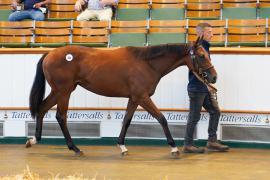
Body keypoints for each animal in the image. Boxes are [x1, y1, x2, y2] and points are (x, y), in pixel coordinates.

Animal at [25, 37, 217, 157]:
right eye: (201, 55)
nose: (214, 77)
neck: (147, 63)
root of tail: (50, 54)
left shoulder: (134, 98)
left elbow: (127, 120)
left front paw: (122, 146)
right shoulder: (143, 97)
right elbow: (161, 118)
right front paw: (174, 148)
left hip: (60, 91)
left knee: (42, 108)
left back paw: (34, 140)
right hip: (64, 91)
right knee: (61, 116)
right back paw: (75, 148)